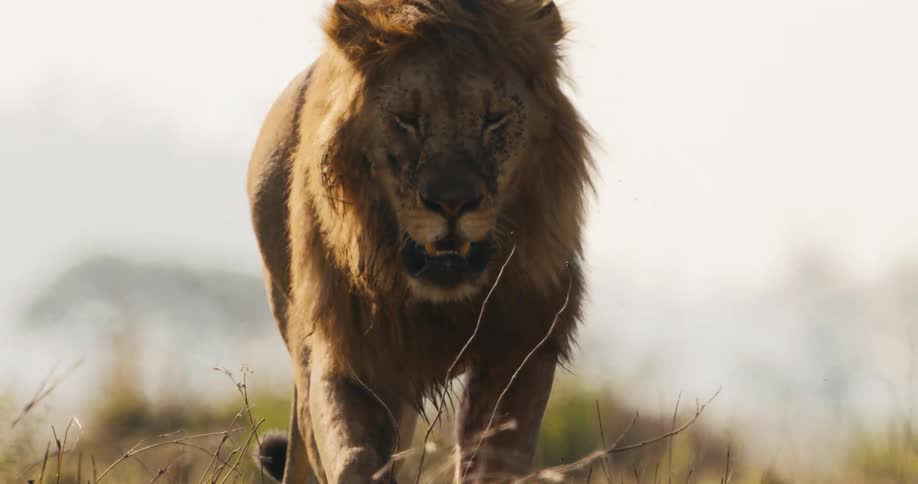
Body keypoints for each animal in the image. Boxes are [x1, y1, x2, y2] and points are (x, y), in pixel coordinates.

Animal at [247, 1, 592, 482]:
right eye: (406, 120)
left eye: (494, 120)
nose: (452, 203)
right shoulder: (346, 349)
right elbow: (352, 455)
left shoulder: (521, 344)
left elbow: (494, 458)